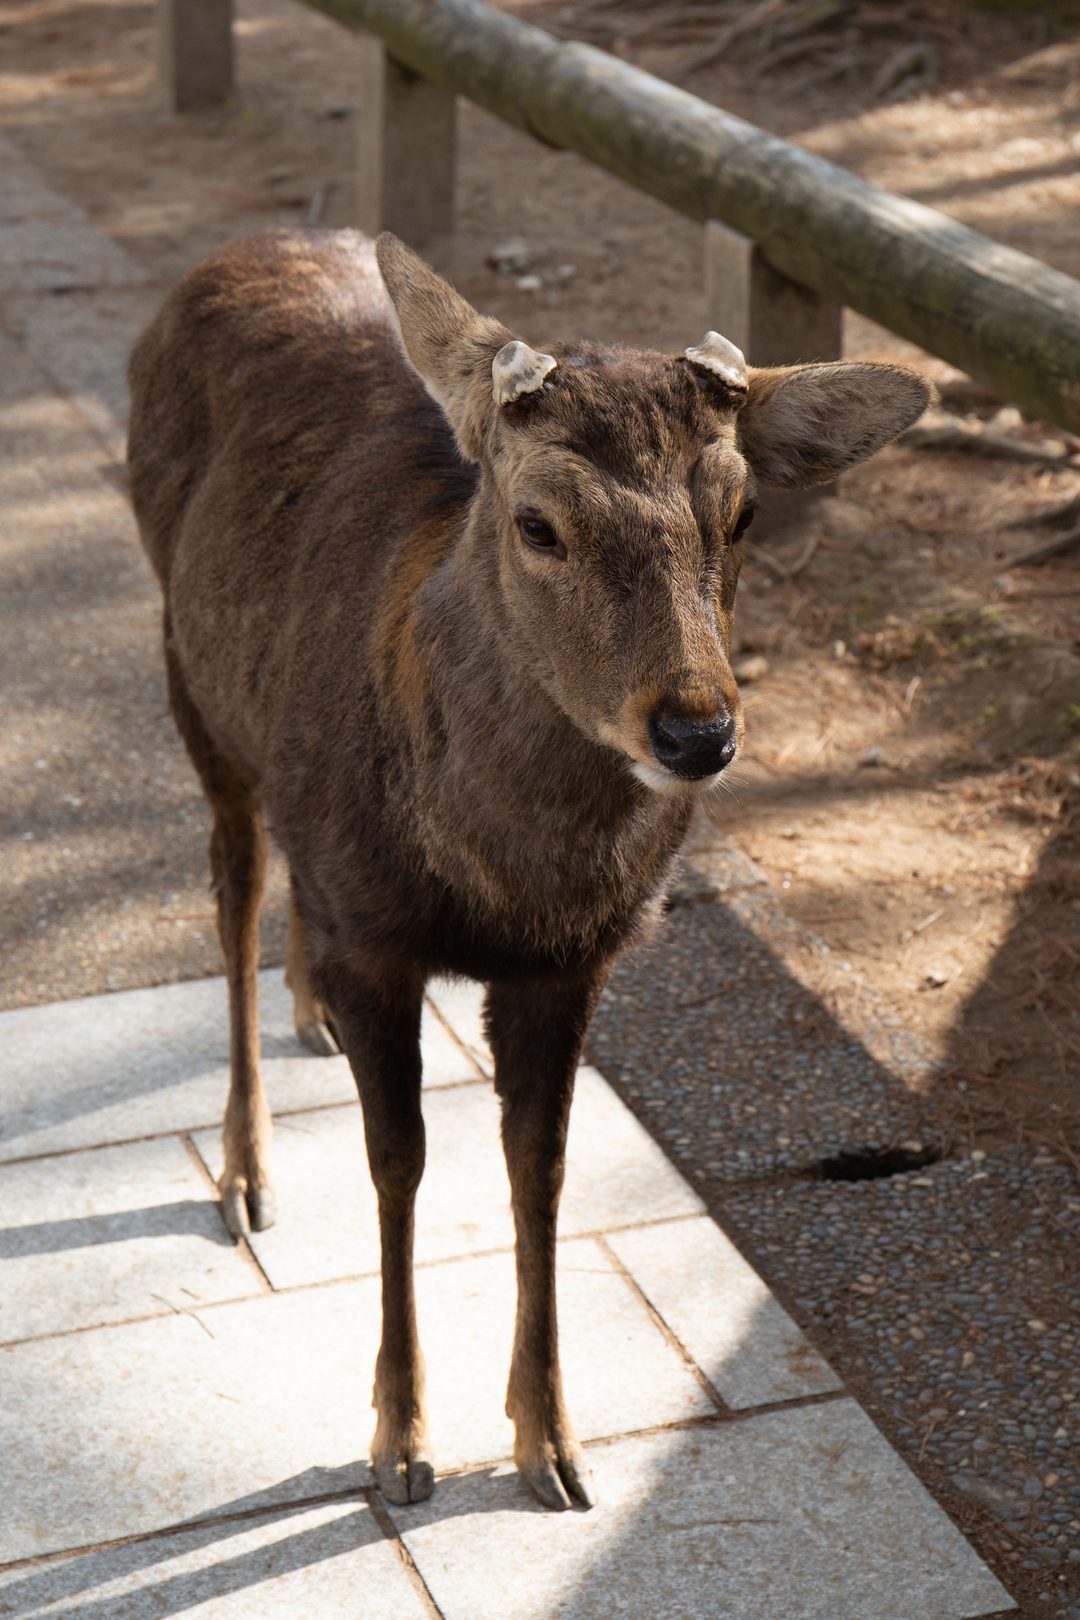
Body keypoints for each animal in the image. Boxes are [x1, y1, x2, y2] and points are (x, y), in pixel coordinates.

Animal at [127, 228, 930, 1512]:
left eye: (744, 511)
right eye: (539, 524)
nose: (697, 730)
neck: (505, 886)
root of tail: (248, 244)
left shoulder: (570, 963)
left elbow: (538, 1170)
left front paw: (550, 1442)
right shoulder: (383, 946)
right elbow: (397, 1166)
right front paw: (400, 1441)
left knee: (290, 877)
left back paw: (309, 1016)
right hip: (185, 664)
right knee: (234, 882)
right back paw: (246, 1168)